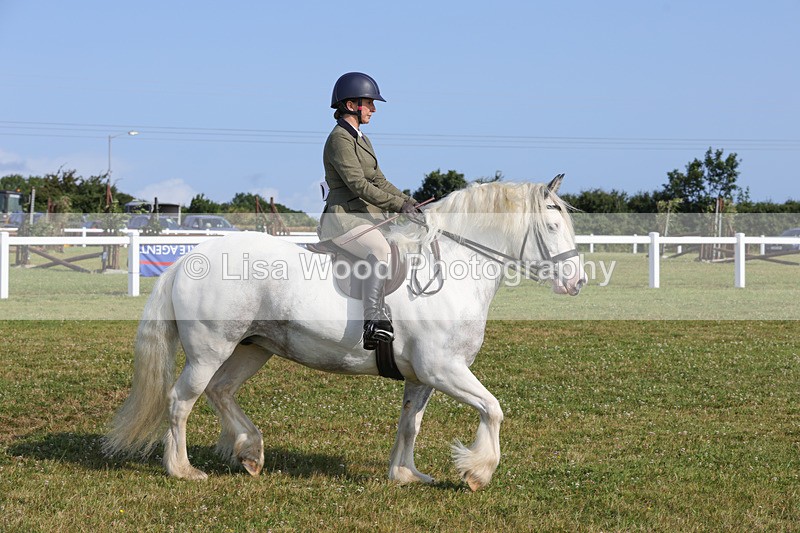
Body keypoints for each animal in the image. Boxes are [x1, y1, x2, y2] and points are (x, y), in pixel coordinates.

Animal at [103, 176, 586, 490]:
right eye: (551, 226)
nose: (577, 282)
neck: (448, 271)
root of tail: (187, 259)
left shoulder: (422, 377)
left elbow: (410, 423)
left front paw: (406, 475)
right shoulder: (443, 369)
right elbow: (493, 409)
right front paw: (477, 472)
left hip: (252, 348)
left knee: (221, 392)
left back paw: (251, 452)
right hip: (210, 349)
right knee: (181, 401)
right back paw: (183, 470)